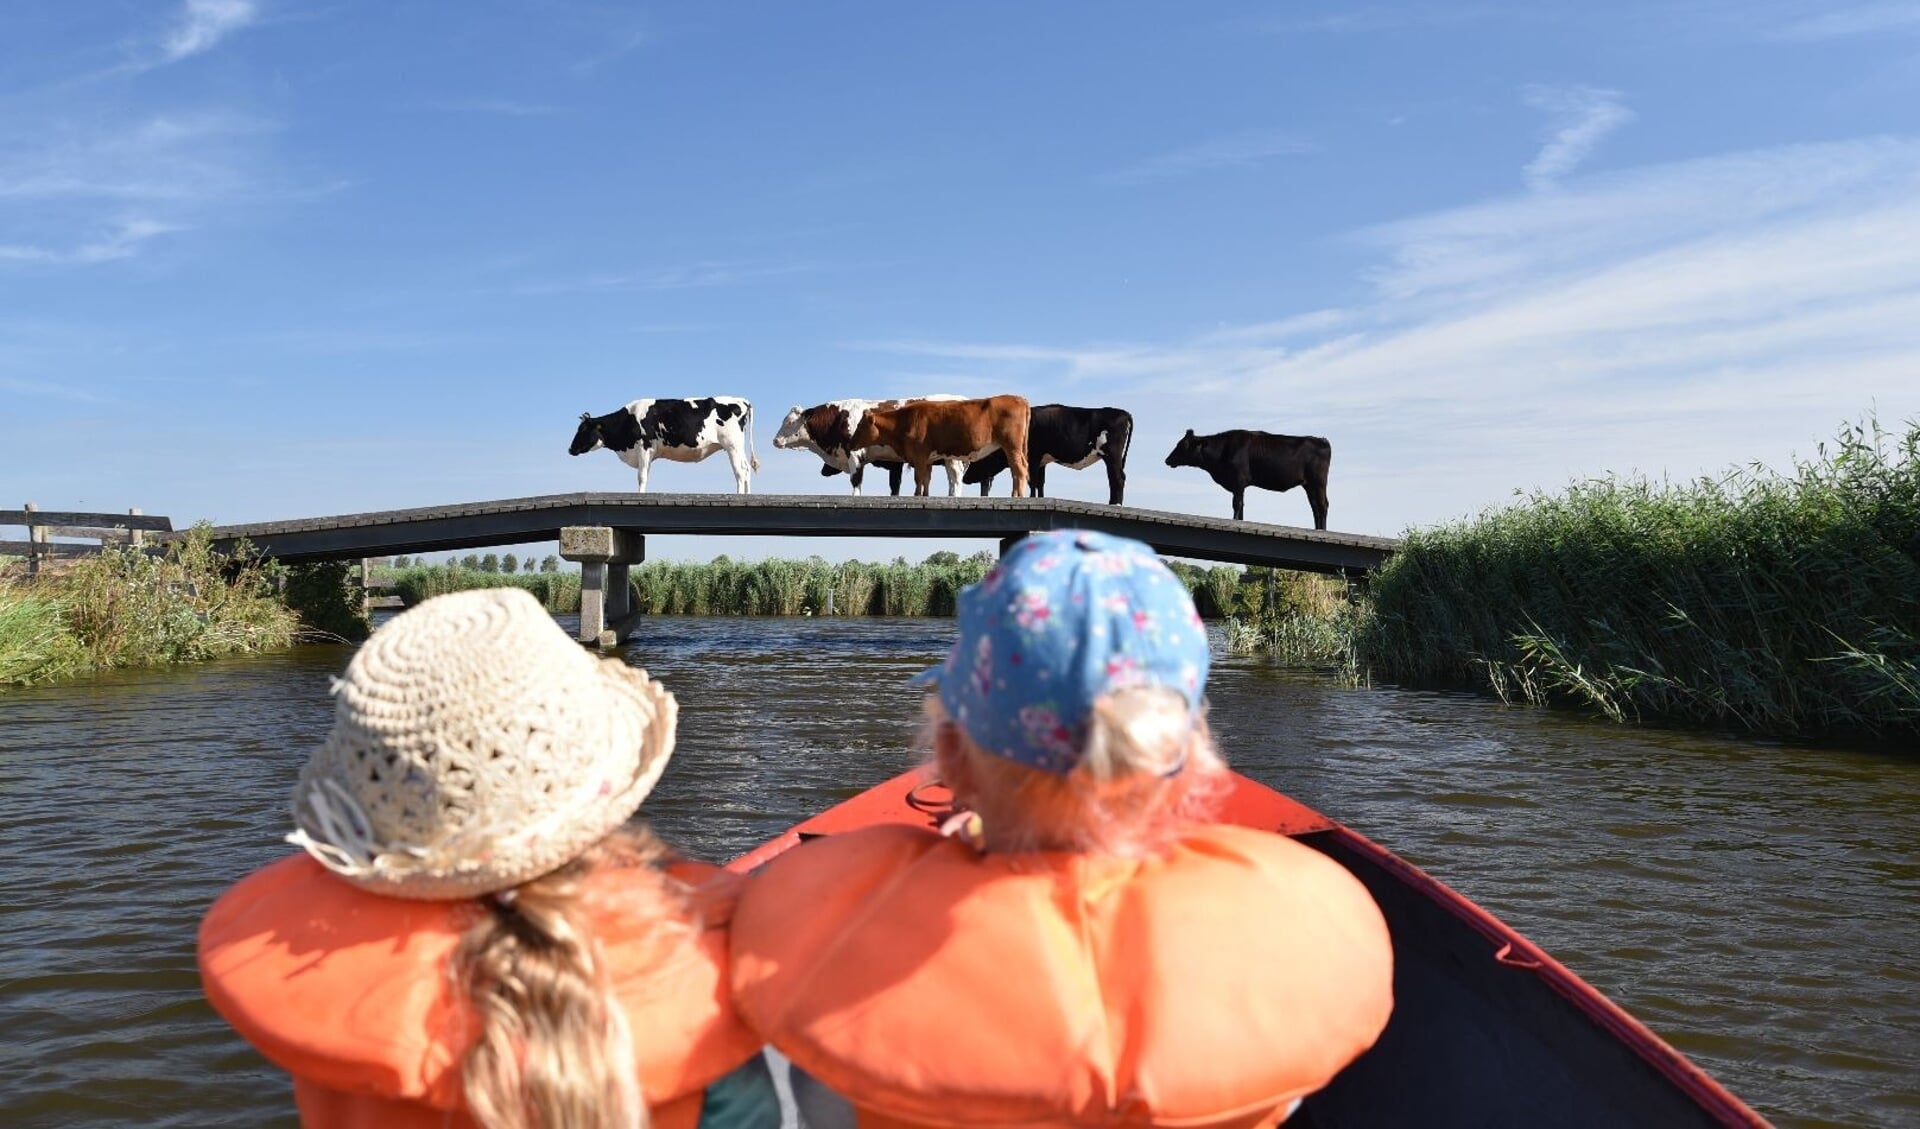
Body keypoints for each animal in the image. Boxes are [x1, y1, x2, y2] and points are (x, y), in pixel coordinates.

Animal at [564, 397, 760, 495]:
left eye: (582, 429)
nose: (570, 449)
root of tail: (741, 400)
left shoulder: (643, 447)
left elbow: (641, 477)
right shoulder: (648, 453)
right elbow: (645, 475)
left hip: (732, 445)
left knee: (739, 471)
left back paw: (738, 495)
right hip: (737, 446)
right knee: (746, 469)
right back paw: (747, 495)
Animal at [768, 397, 967, 495]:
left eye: (789, 422)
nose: (775, 441)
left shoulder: (854, 454)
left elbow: (856, 482)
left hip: (954, 458)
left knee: (956, 479)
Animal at [852, 395, 1029, 495]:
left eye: (860, 426)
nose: (850, 443)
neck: (904, 422)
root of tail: (1017, 398)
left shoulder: (920, 455)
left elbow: (918, 479)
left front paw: (917, 495)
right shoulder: (927, 459)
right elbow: (925, 480)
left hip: (1012, 446)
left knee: (1019, 469)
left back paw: (1017, 496)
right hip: (1015, 448)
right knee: (1018, 469)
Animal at [967, 403, 1128, 503]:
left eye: (976, 460)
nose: (965, 479)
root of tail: (1123, 413)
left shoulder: (1033, 457)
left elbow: (1032, 480)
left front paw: (1032, 498)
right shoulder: (1042, 461)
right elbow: (1040, 483)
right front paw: (1040, 498)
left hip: (1112, 456)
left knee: (1117, 479)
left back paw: (1115, 505)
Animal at [1159, 428, 1328, 529]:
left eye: (1183, 445)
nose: (1168, 460)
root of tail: (1321, 440)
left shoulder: (1238, 481)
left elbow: (1237, 504)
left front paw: (1234, 521)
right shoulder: (1238, 485)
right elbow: (1241, 506)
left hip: (1318, 482)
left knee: (1323, 505)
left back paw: (1323, 530)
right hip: (1309, 485)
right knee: (1315, 507)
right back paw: (1317, 529)